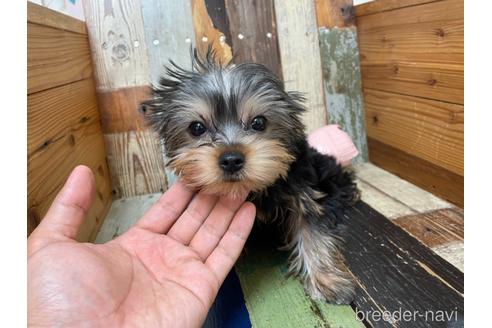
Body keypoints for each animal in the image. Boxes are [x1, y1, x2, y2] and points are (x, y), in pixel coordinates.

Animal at [140, 49, 360, 304]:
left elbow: (312, 230)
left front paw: (326, 280)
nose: (231, 159)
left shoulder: (303, 191)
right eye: (196, 128)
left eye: (259, 122)